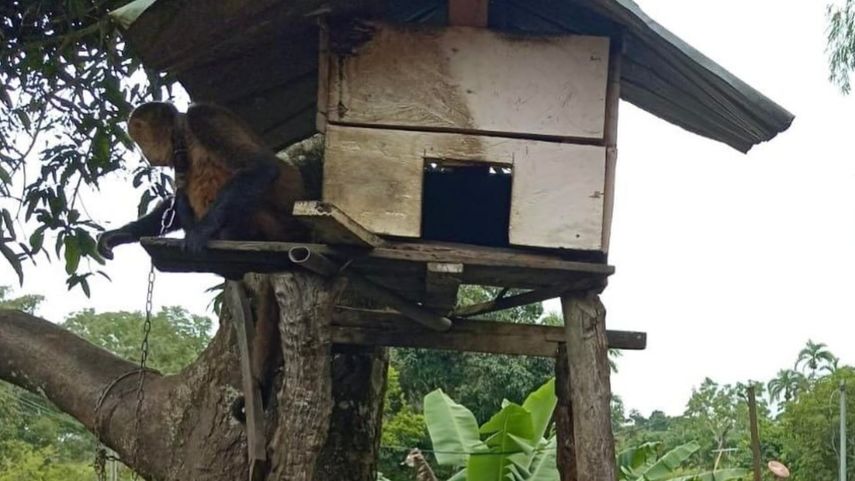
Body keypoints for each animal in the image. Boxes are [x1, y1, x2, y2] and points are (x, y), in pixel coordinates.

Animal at [97, 101, 306, 412]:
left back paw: (227, 234)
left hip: (268, 222)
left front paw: (201, 232)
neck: (185, 135)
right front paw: (122, 233)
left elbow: (261, 168)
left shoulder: (204, 118)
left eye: (142, 141)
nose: (148, 156)